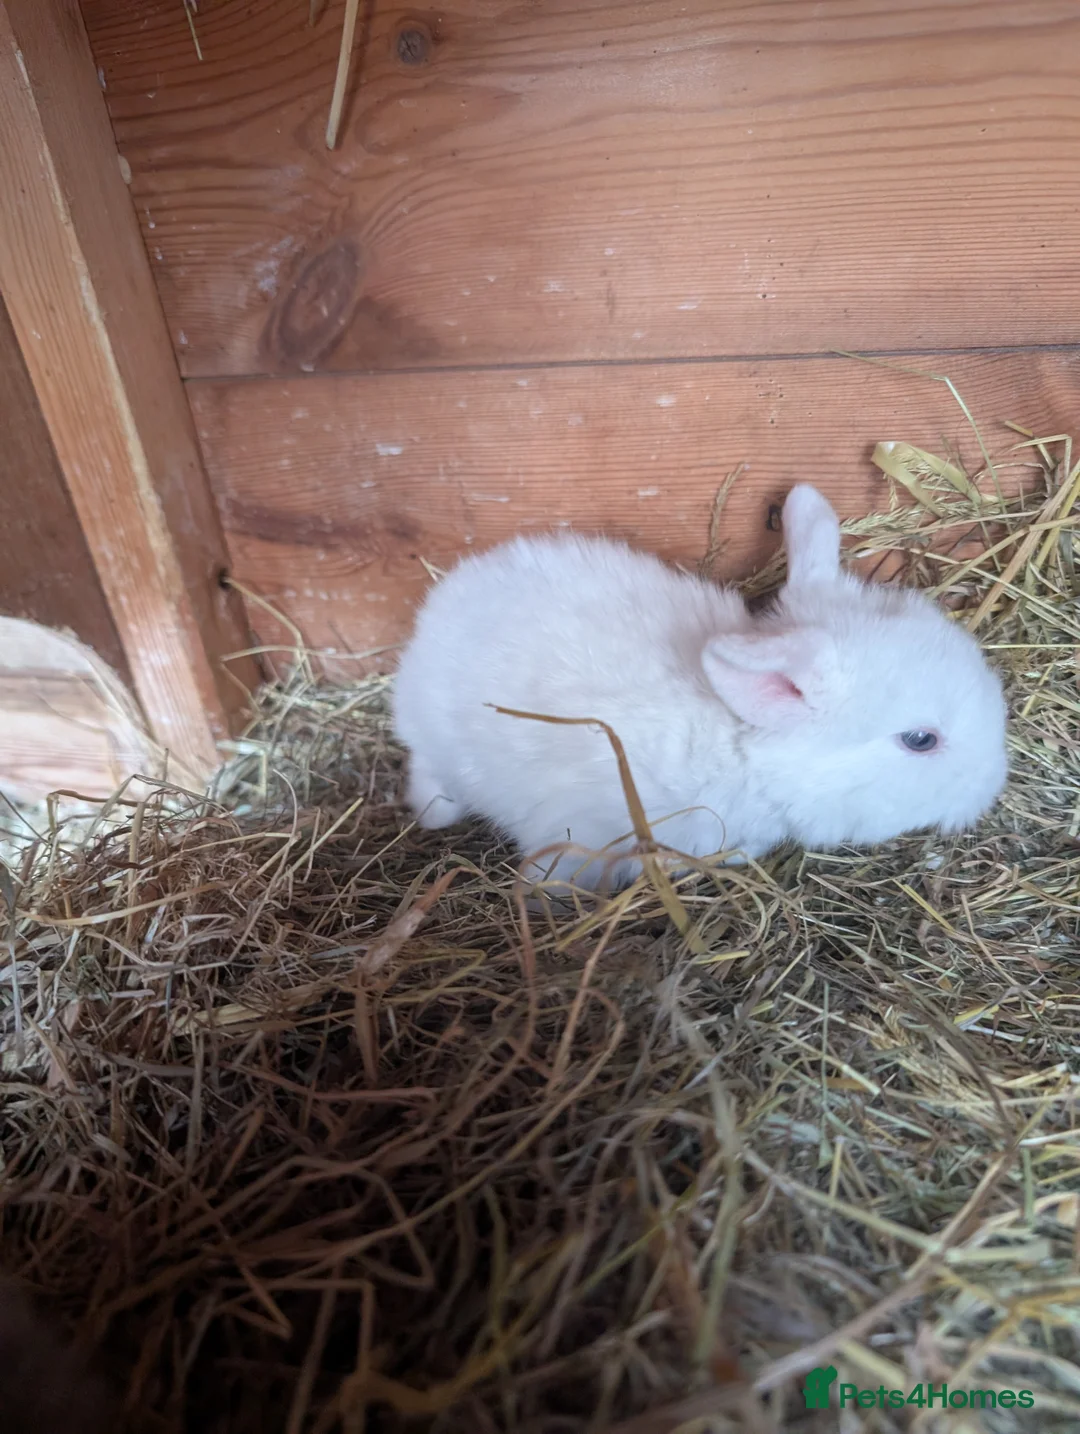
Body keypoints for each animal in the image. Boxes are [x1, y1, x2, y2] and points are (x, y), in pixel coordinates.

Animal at [392, 484, 1008, 891]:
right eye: (921, 740)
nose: (993, 784)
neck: (740, 748)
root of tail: (433, 615)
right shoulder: (582, 829)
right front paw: (546, 895)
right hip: (439, 742)